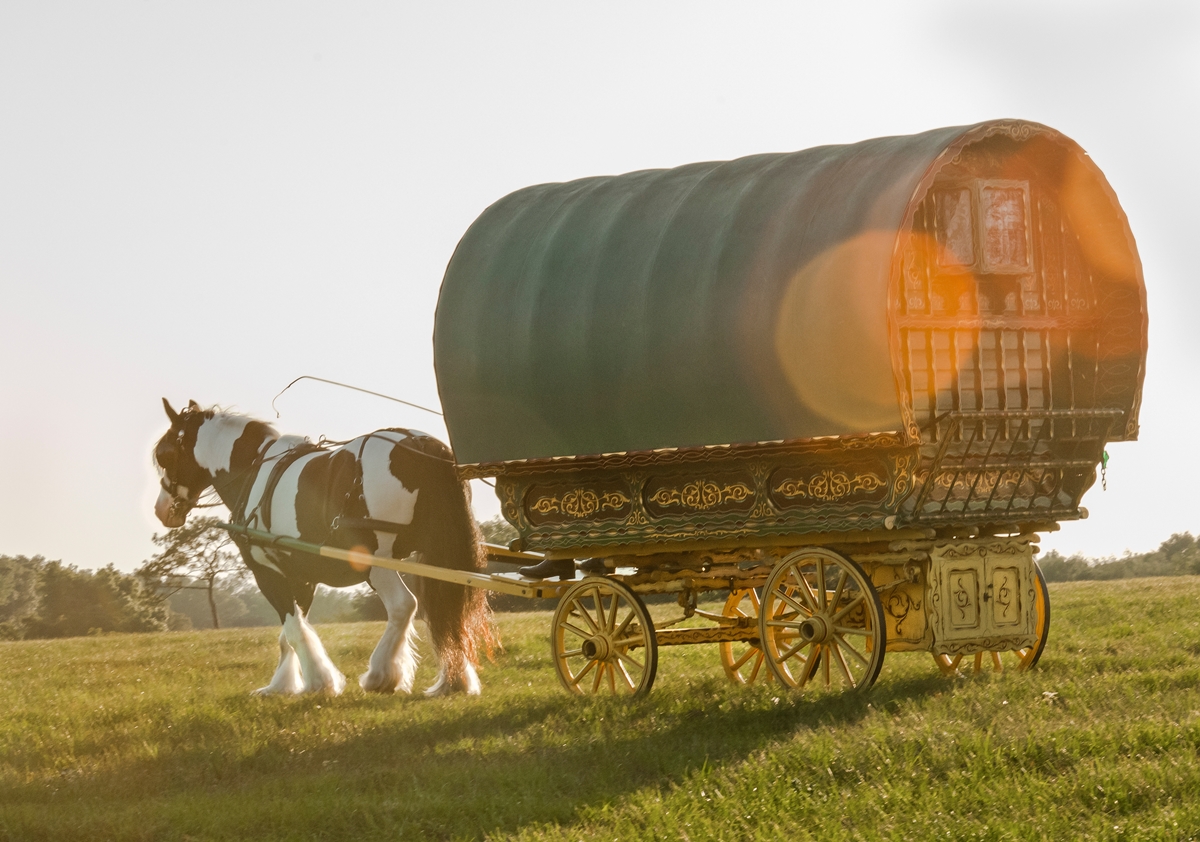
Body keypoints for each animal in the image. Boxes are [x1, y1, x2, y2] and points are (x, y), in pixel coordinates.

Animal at [152, 399, 491, 697]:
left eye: (164, 454)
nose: (161, 509)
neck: (254, 470)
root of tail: (422, 445)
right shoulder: (302, 576)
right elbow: (290, 632)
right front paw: (282, 684)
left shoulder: (266, 570)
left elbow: (293, 628)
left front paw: (318, 681)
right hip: (438, 554)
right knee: (448, 609)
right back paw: (454, 680)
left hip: (377, 562)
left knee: (403, 606)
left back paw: (381, 675)